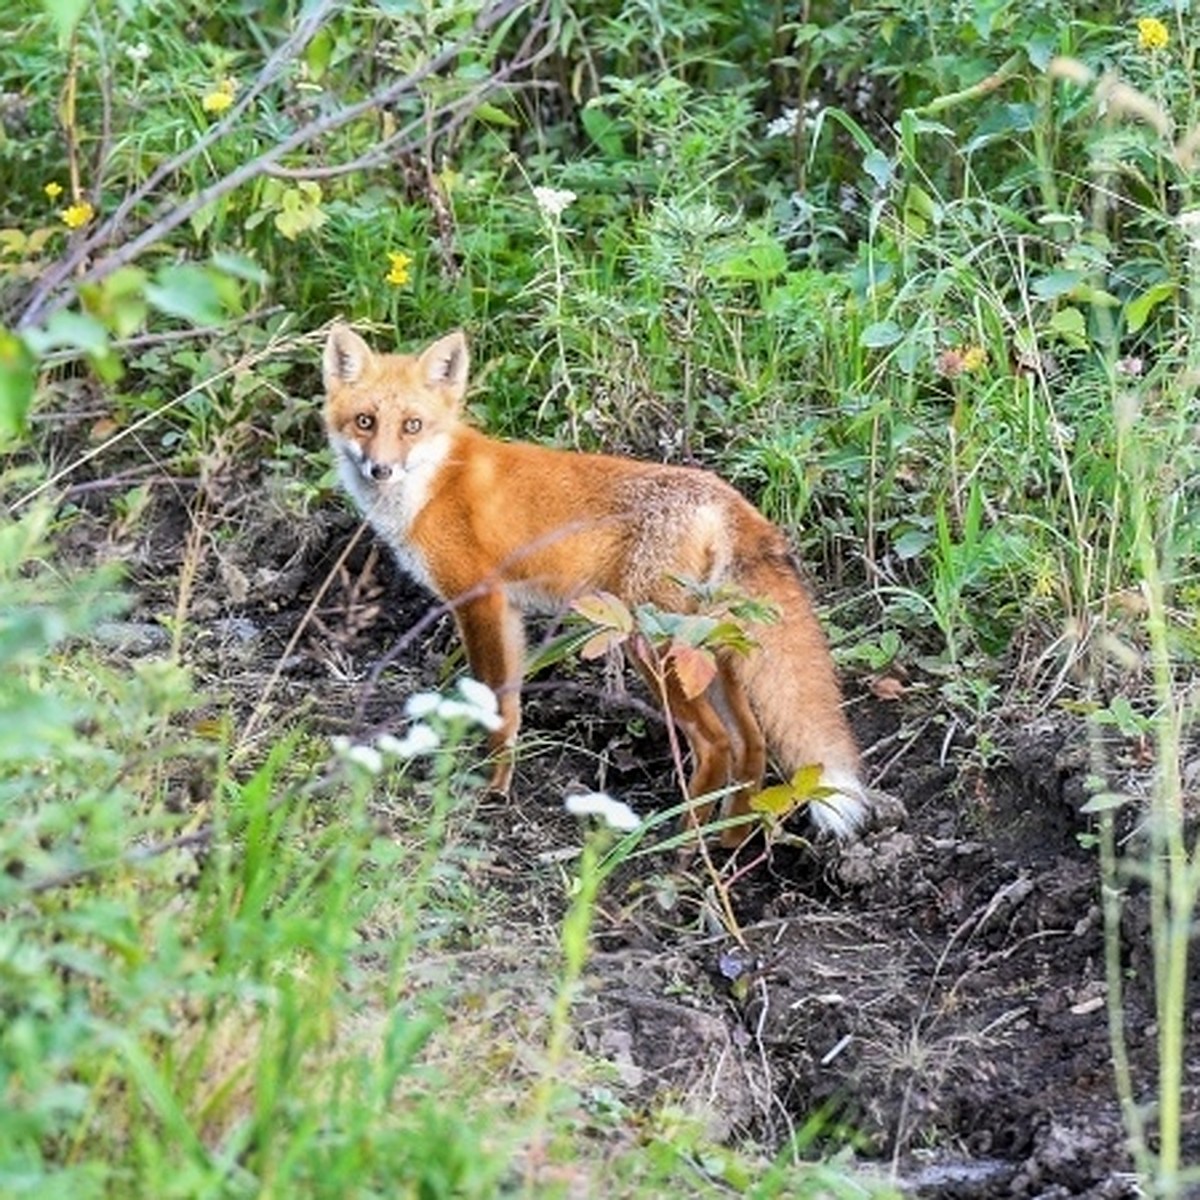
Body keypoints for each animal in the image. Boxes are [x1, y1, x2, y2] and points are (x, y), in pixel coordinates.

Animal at [321, 324, 864, 840]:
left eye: (412, 426)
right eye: (365, 421)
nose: (381, 469)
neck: (432, 482)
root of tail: (728, 497)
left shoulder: (479, 601)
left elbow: (493, 702)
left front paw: (488, 790)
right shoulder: (508, 610)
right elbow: (511, 708)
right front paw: (501, 783)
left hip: (652, 644)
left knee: (716, 743)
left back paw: (681, 846)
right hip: (709, 651)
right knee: (751, 742)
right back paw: (727, 843)